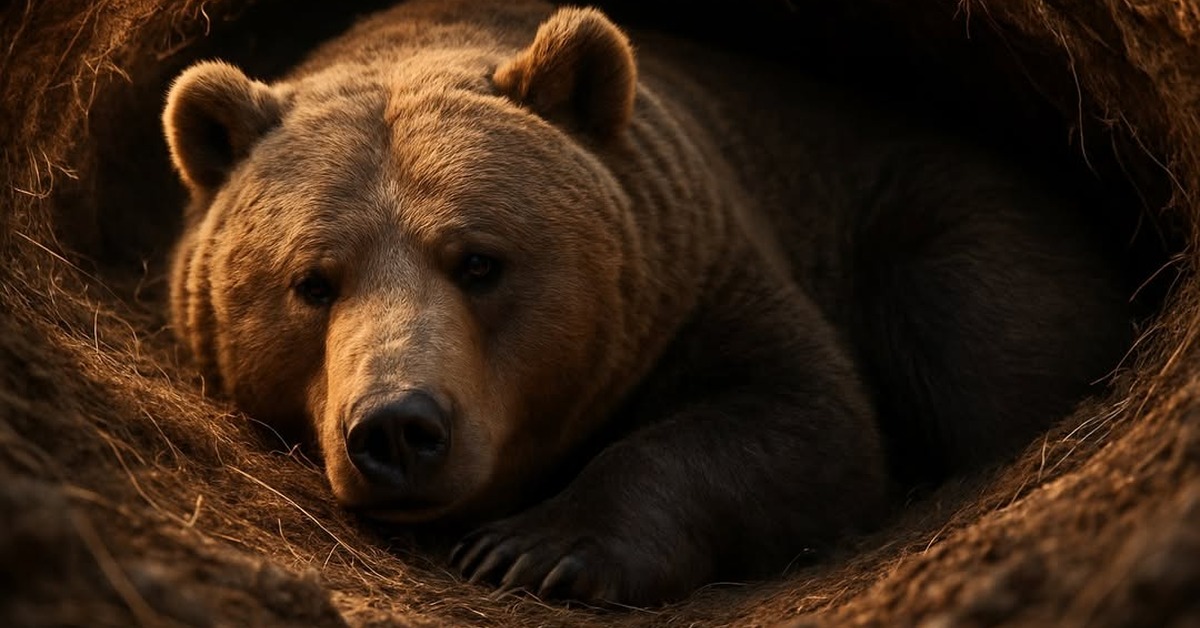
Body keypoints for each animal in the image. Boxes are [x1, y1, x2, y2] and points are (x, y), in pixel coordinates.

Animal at [161, 0, 1132, 606]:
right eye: (312, 281)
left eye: (479, 262)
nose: (399, 427)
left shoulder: (706, 270)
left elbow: (802, 420)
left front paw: (538, 551)